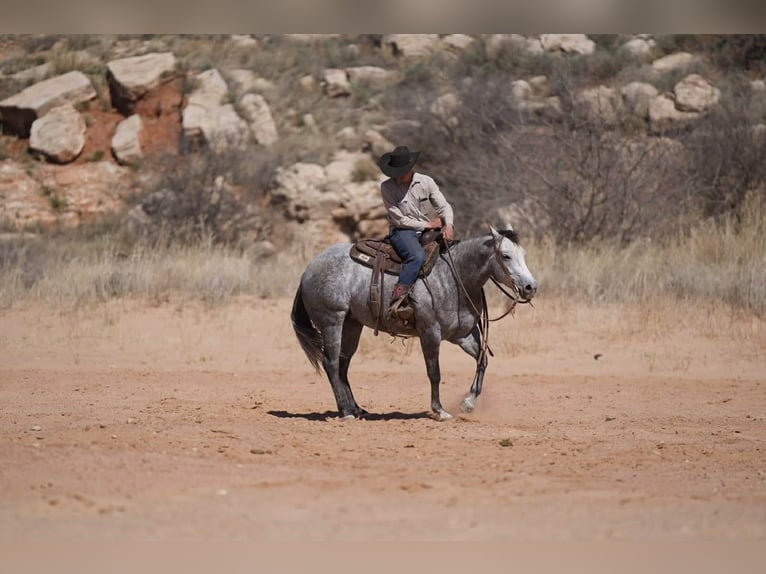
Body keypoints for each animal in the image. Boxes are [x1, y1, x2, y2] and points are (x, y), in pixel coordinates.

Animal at [290, 225, 537, 421]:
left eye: (524, 254)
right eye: (505, 255)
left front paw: (468, 403)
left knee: (343, 366)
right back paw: (345, 411)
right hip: (332, 320)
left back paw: (356, 408)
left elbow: (482, 360)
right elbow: (434, 372)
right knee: (331, 363)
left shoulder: (463, 335)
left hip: (352, 325)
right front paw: (439, 410)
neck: (454, 277)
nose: (530, 287)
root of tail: (307, 270)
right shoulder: (430, 332)